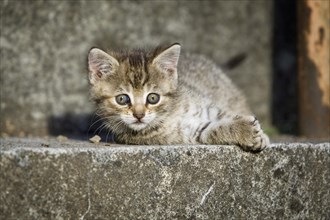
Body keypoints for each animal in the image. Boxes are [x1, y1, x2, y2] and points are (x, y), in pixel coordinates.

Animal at [86, 43, 270, 152]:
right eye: (122, 99)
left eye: (153, 98)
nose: (139, 115)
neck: (170, 114)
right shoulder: (185, 135)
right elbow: (210, 129)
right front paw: (246, 131)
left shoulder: (207, 106)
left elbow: (224, 115)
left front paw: (260, 135)